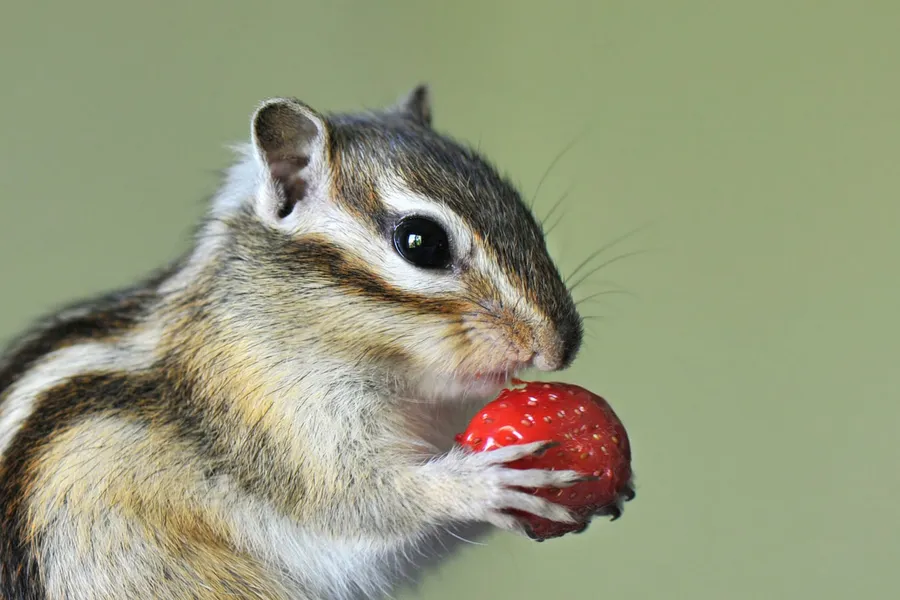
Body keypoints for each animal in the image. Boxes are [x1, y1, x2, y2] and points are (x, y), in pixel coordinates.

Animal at [0, 85, 588, 600]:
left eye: (520, 208)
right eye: (422, 242)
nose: (561, 347)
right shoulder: (278, 422)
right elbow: (361, 503)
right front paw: (481, 482)